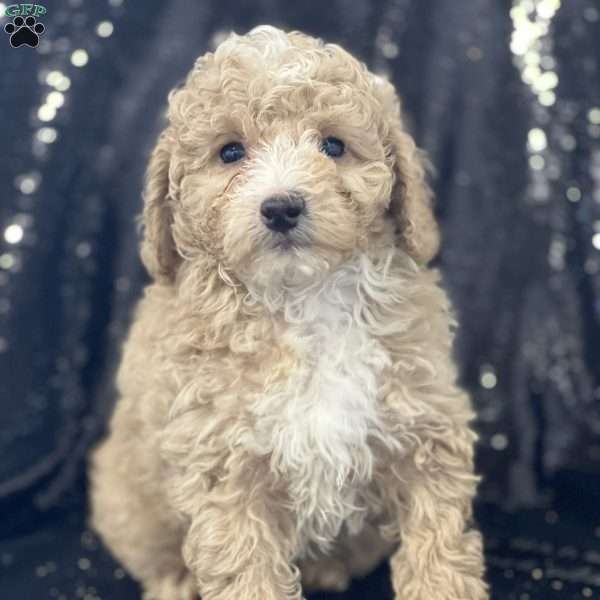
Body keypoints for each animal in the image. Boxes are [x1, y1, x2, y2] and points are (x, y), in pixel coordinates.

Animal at [90, 24, 492, 600]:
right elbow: (246, 569)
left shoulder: (425, 424)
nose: (281, 207)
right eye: (230, 152)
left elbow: (438, 539)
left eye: (334, 146)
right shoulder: (224, 466)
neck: (305, 298)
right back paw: (176, 581)